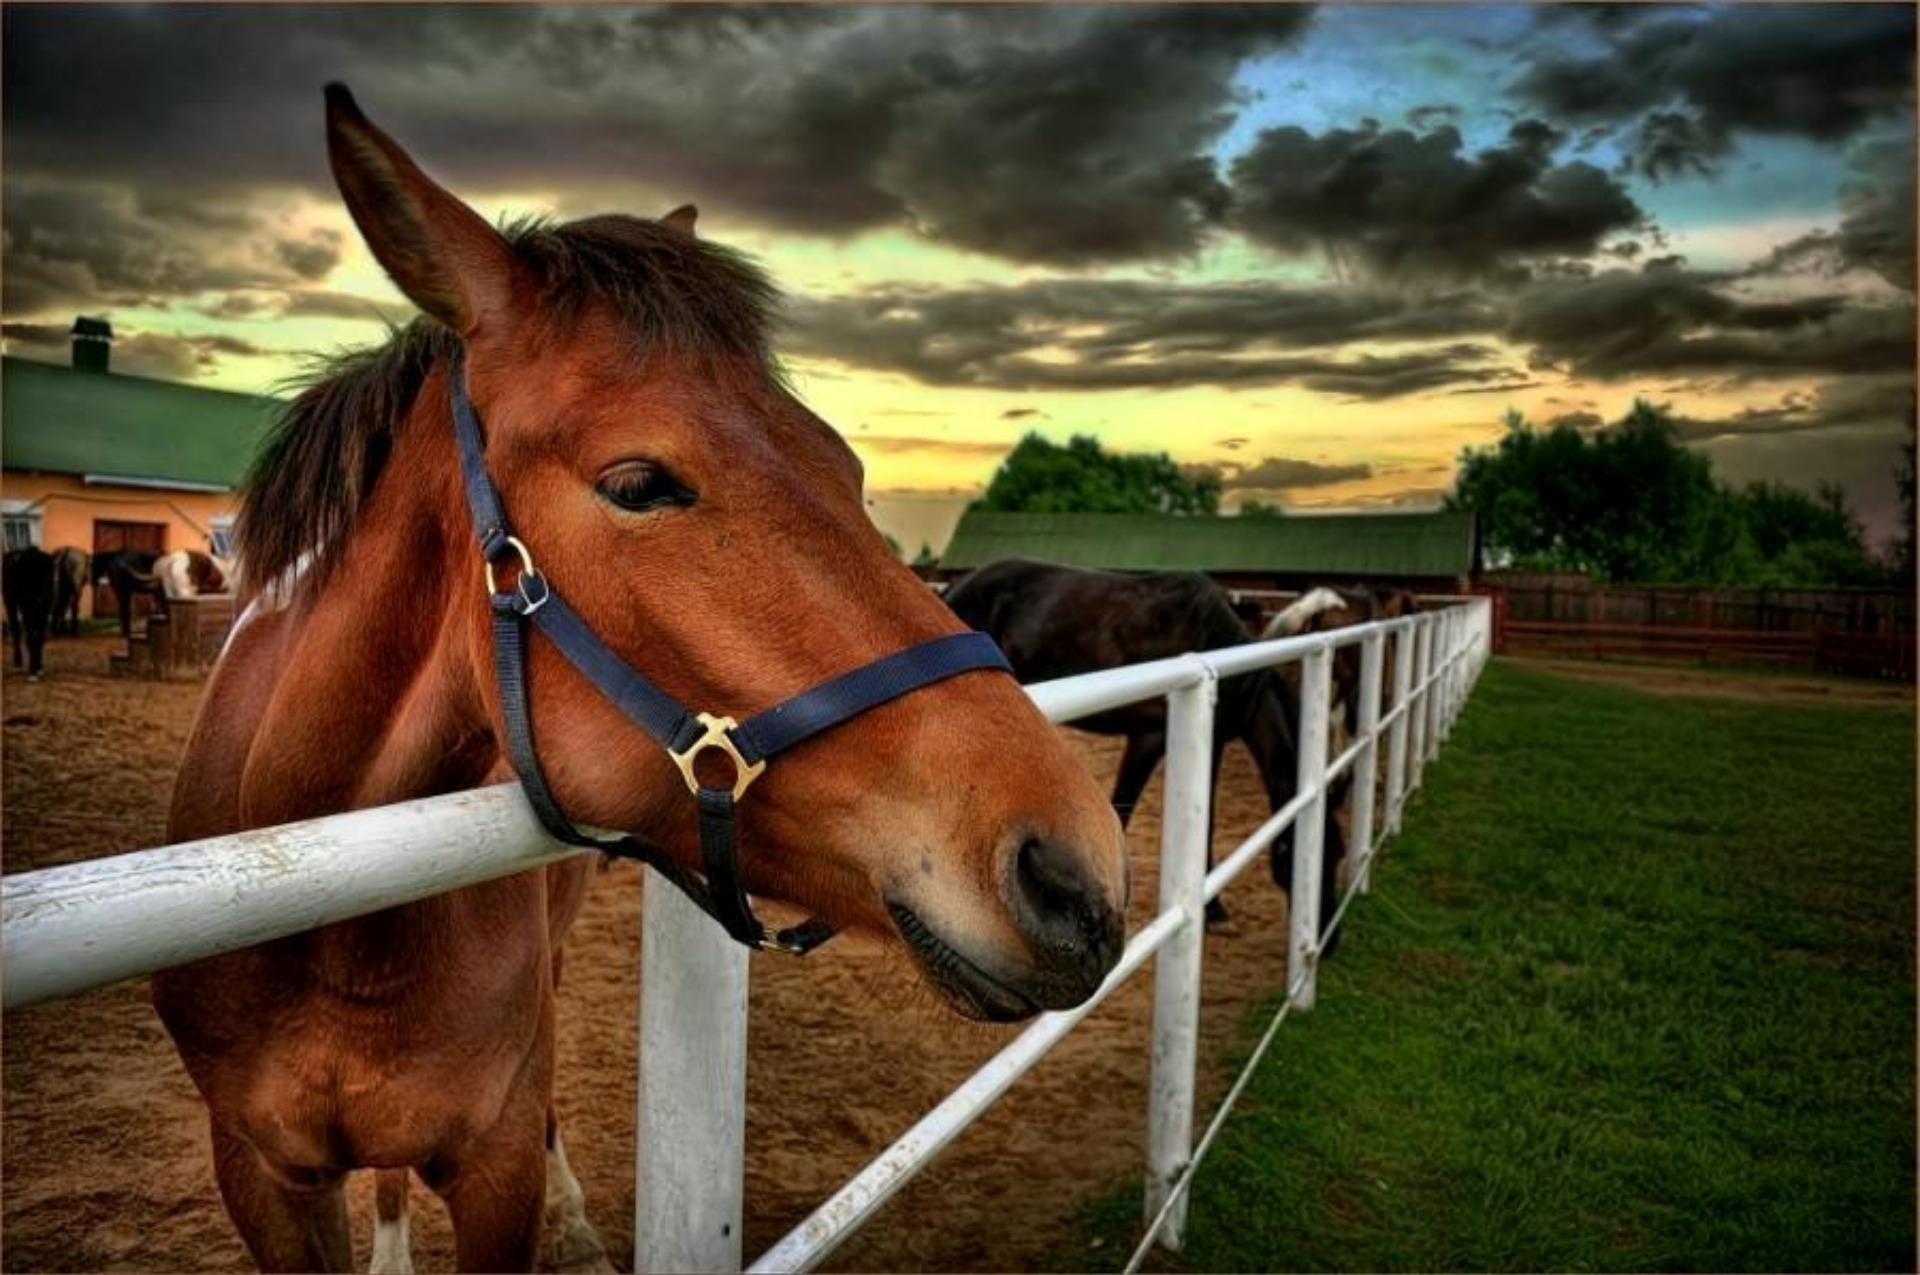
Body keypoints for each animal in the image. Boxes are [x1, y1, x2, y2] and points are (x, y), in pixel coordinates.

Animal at [2, 546, 56, 679]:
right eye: (31, 575)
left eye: (49, 575)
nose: (43, 597)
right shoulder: (27, 609)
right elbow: (31, 637)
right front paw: (33, 671)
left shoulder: (44, 611)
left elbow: (40, 637)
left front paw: (39, 668)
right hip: (9, 602)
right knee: (16, 631)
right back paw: (18, 663)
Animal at [152, 85, 1126, 1275]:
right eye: (637, 483)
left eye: (847, 468)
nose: (1076, 875)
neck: (333, 920)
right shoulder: (258, 1174)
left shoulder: (497, 1164)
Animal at [942, 557, 1341, 945]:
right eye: (1295, 850)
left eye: (1336, 851)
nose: (1329, 938)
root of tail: (956, 586)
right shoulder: (1148, 739)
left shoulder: (1211, 743)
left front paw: (1213, 910)